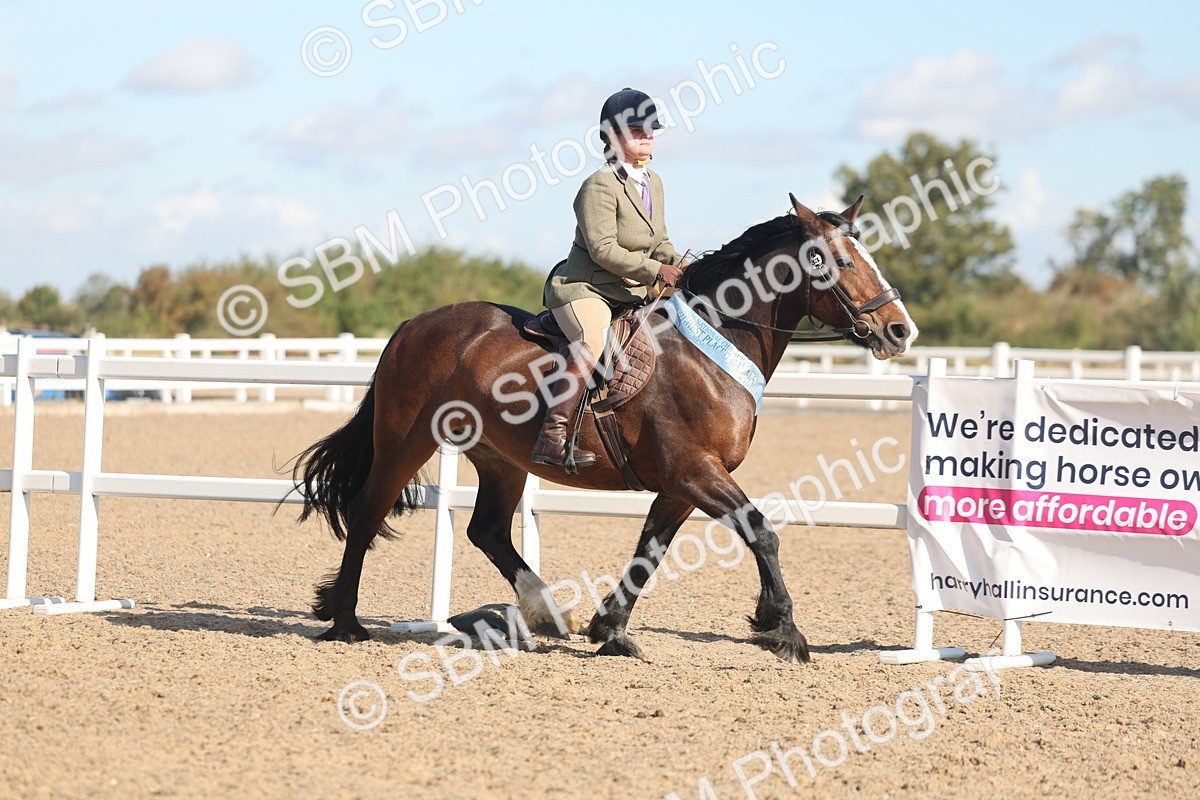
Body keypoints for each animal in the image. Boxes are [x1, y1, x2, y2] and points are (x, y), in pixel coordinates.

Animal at [291, 194, 917, 663]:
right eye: (837, 262)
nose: (899, 330)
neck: (713, 346)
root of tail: (411, 325)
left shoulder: (681, 483)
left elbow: (650, 549)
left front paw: (610, 631)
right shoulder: (696, 471)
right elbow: (761, 531)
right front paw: (782, 629)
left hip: (500, 459)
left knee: (487, 530)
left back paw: (549, 613)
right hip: (406, 440)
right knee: (367, 511)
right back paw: (345, 622)